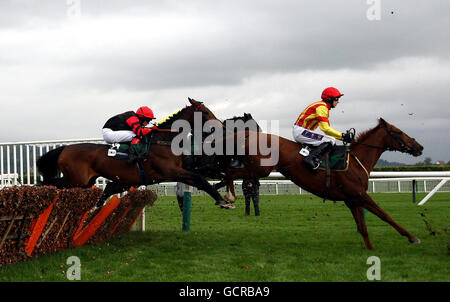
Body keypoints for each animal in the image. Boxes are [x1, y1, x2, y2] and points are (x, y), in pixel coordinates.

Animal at [37, 98, 234, 209]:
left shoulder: (179, 171)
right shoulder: (171, 172)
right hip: (77, 180)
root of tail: (65, 148)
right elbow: (200, 179)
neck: (163, 140)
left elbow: (202, 179)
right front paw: (224, 201)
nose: (223, 127)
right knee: (49, 184)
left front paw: (224, 196)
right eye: (206, 112)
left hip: (85, 181)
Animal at [217, 118, 422, 250]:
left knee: (228, 173)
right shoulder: (359, 194)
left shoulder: (352, 199)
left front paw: (370, 249)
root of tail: (249, 135)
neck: (356, 161)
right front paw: (412, 237)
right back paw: (229, 197)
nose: (419, 146)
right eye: (398, 132)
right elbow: (384, 215)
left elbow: (362, 226)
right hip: (261, 169)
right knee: (230, 172)